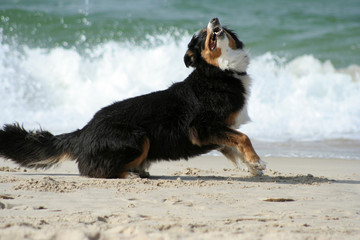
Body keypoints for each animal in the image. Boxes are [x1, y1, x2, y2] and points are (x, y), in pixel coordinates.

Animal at [0, 17, 266, 178]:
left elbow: (234, 148)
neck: (220, 72)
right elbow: (243, 138)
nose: (214, 20)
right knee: (95, 171)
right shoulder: (200, 127)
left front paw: (252, 168)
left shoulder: (219, 131)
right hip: (138, 137)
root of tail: (83, 131)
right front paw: (257, 161)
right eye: (203, 34)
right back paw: (130, 174)